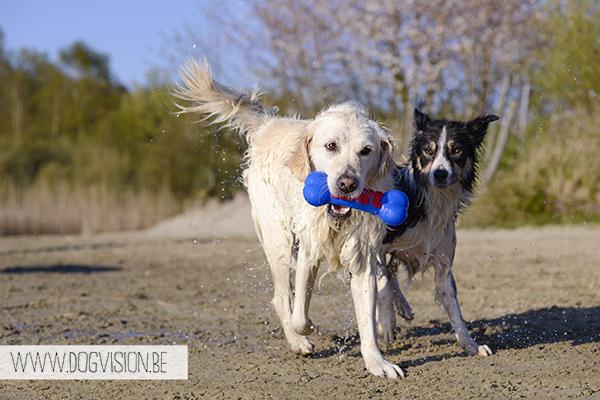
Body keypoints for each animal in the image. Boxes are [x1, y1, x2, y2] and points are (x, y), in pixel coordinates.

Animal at [173, 59, 404, 378]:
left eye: (366, 151)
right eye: (331, 146)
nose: (347, 183)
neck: (335, 221)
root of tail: (269, 124)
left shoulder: (361, 260)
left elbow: (367, 319)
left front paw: (377, 362)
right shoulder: (308, 253)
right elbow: (299, 315)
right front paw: (306, 331)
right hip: (279, 239)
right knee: (281, 297)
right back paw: (298, 341)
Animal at [378, 108, 500, 356]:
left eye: (456, 150)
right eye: (428, 150)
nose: (440, 174)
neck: (432, 202)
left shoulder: (444, 267)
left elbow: (456, 313)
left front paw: (471, 345)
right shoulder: (375, 245)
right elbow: (382, 285)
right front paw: (385, 323)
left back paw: (403, 307)